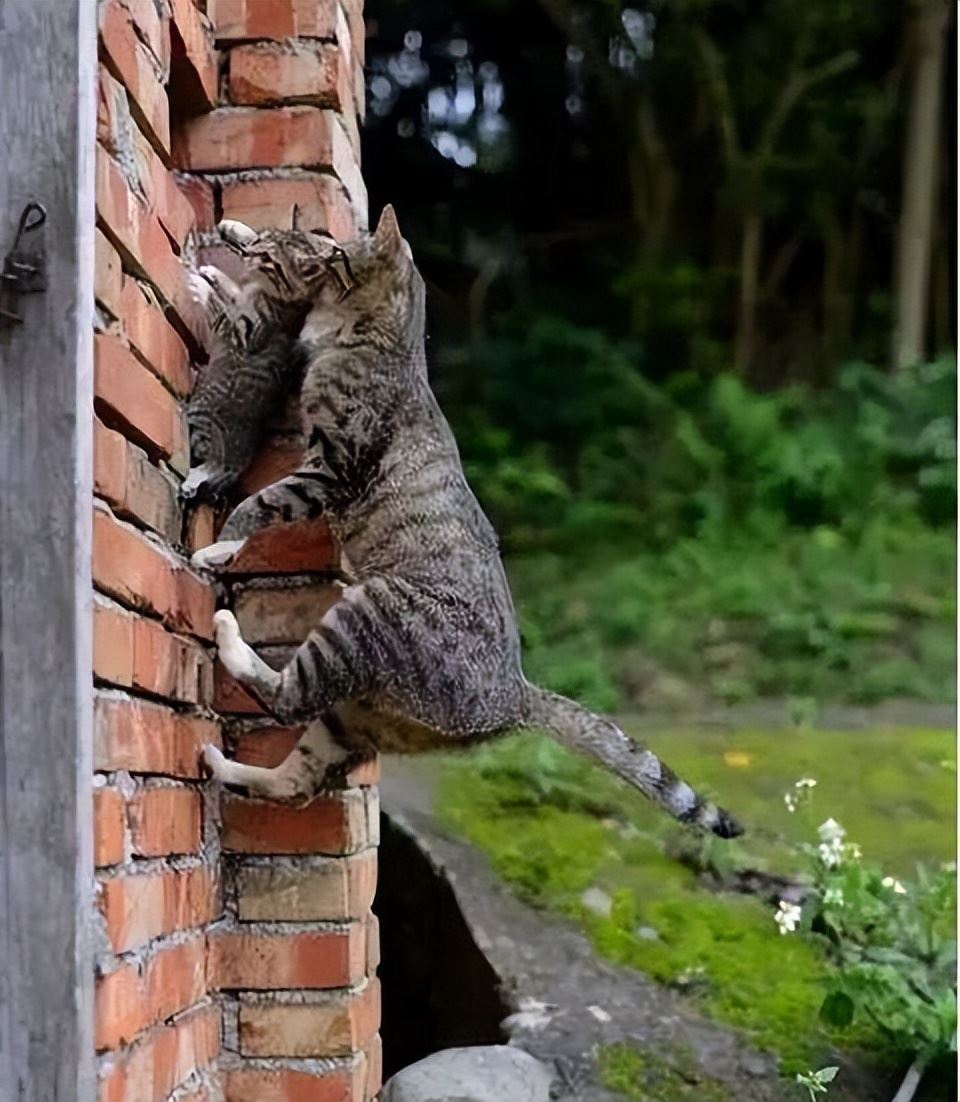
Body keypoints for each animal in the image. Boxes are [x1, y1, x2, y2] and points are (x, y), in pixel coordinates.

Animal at [189, 207, 745, 837]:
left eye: (337, 253)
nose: (326, 248)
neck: (378, 341)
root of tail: (516, 695)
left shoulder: (331, 468)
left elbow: (260, 504)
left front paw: (219, 548)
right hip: (353, 716)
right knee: (297, 782)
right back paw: (221, 764)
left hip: (369, 614)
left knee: (288, 697)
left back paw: (229, 637)